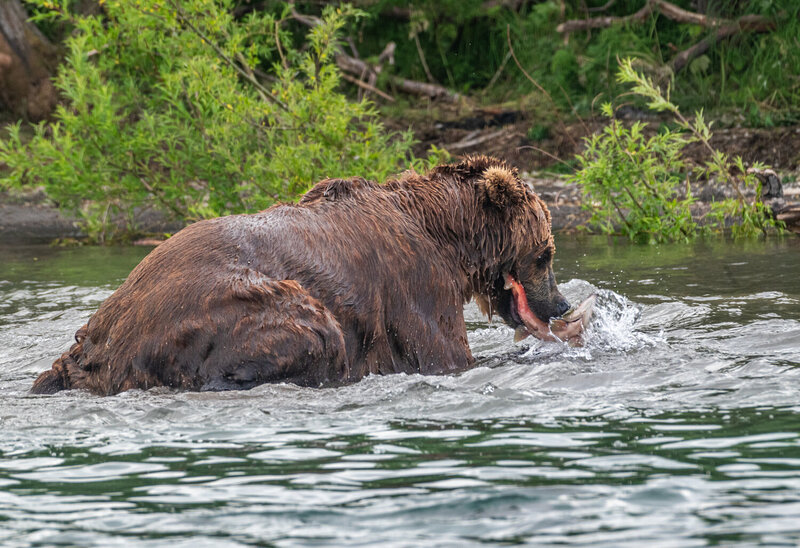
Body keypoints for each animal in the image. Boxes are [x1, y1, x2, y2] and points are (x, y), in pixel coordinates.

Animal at [31, 155, 571, 396]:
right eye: (545, 253)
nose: (562, 303)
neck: (447, 235)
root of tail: (102, 353)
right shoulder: (416, 287)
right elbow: (445, 353)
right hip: (233, 307)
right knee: (310, 331)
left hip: (110, 320)